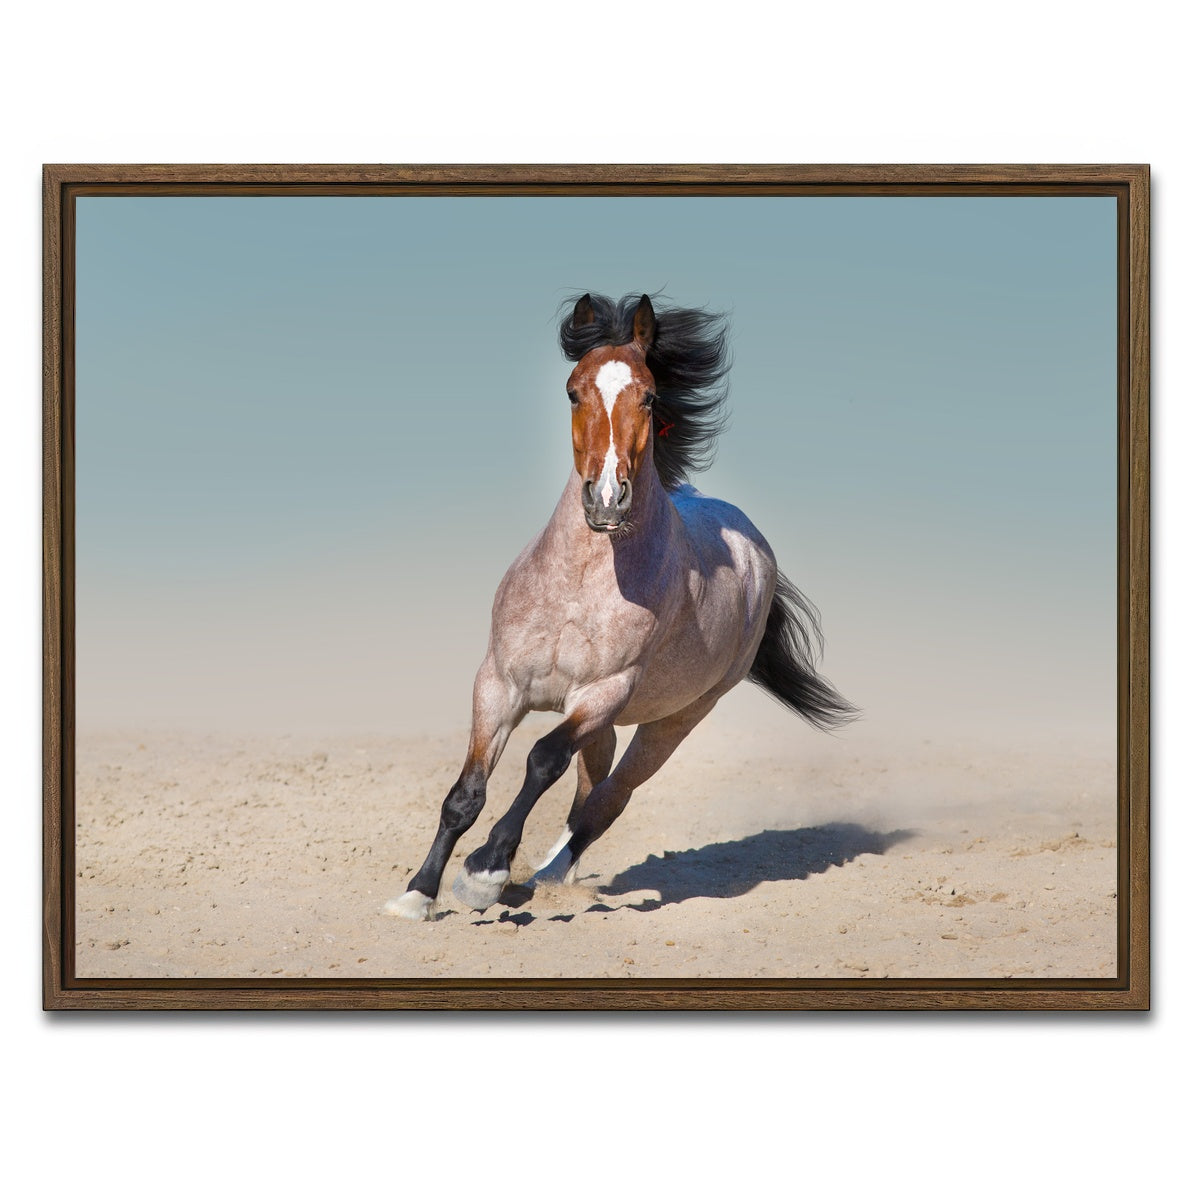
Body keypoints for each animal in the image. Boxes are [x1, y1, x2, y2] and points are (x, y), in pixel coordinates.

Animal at [385, 292, 855, 921]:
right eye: (572, 391)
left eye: (649, 395)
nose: (607, 498)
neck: (579, 587)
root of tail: (755, 547)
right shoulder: (499, 685)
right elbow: (466, 794)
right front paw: (417, 894)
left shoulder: (602, 693)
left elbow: (542, 761)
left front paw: (484, 872)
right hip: (605, 725)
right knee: (589, 791)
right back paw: (542, 876)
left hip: (674, 720)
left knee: (609, 799)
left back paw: (543, 876)